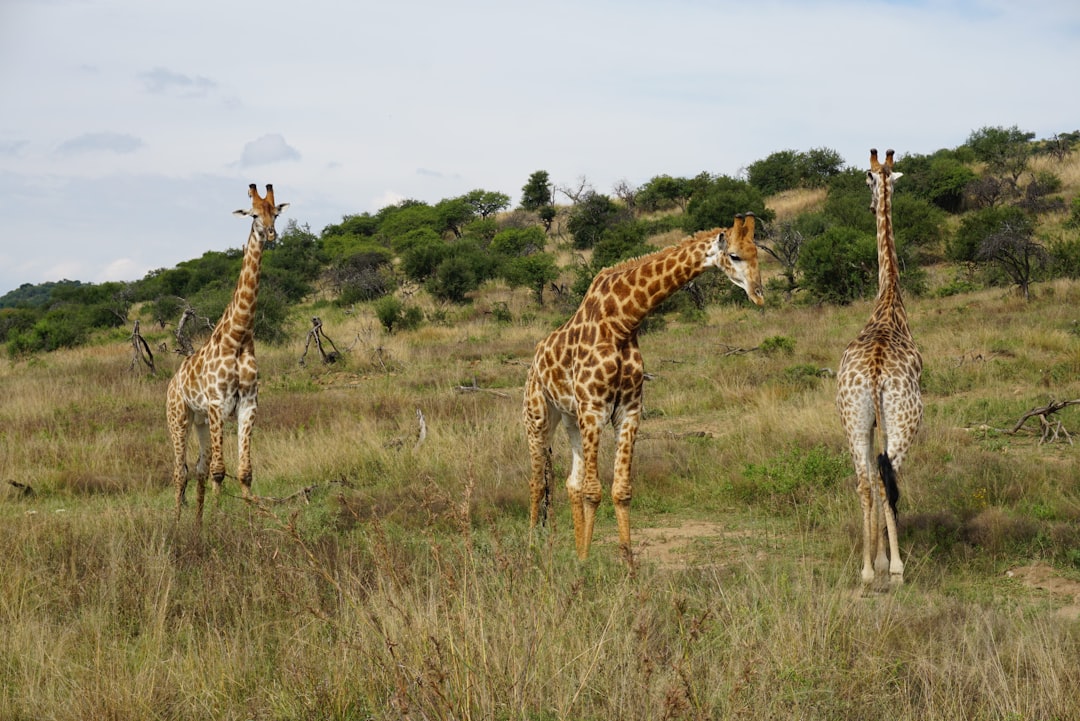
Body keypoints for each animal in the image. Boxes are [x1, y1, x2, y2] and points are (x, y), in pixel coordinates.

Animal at [166, 183, 289, 524]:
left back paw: (196, 522)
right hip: (178, 418)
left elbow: (244, 471)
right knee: (180, 471)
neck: (239, 337)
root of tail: (172, 382)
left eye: (275, 213)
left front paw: (248, 519)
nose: (271, 234)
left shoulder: (248, 404)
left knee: (198, 468)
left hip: (200, 421)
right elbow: (221, 471)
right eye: (253, 214)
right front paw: (220, 519)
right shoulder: (218, 404)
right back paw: (177, 523)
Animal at [524, 213, 768, 561]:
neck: (623, 323)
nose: (758, 294)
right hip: (538, 417)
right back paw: (532, 552)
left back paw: (575, 550)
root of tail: (535, 360)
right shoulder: (595, 409)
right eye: (734, 255)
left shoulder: (628, 410)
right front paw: (585, 568)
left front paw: (625, 565)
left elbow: (621, 491)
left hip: (570, 418)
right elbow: (593, 491)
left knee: (570, 482)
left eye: (757, 252)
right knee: (537, 483)